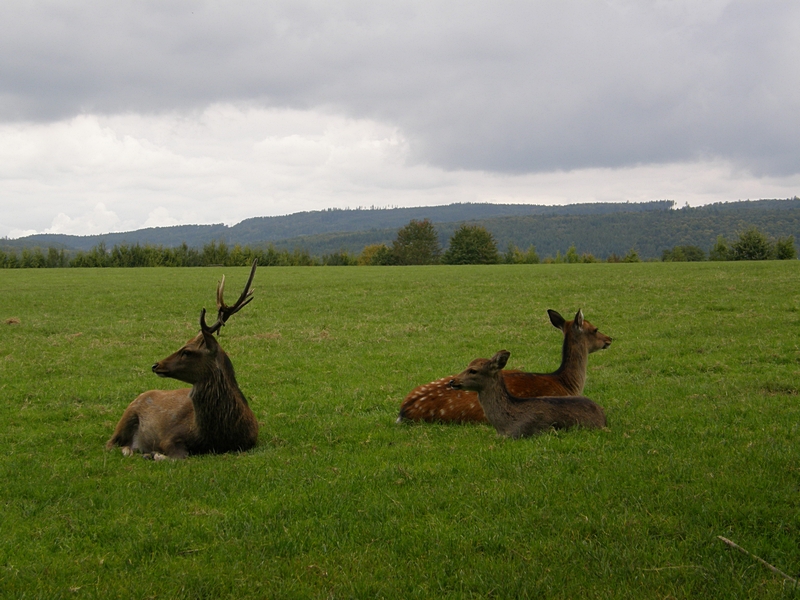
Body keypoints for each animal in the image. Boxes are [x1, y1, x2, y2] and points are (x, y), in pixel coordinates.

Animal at [106, 260, 260, 462]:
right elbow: (179, 456)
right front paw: (154, 453)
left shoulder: (250, 440)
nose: (156, 365)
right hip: (127, 415)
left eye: (186, 351)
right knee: (110, 444)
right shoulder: (170, 436)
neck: (216, 435)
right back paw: (133, 450)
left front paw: (152, 453)